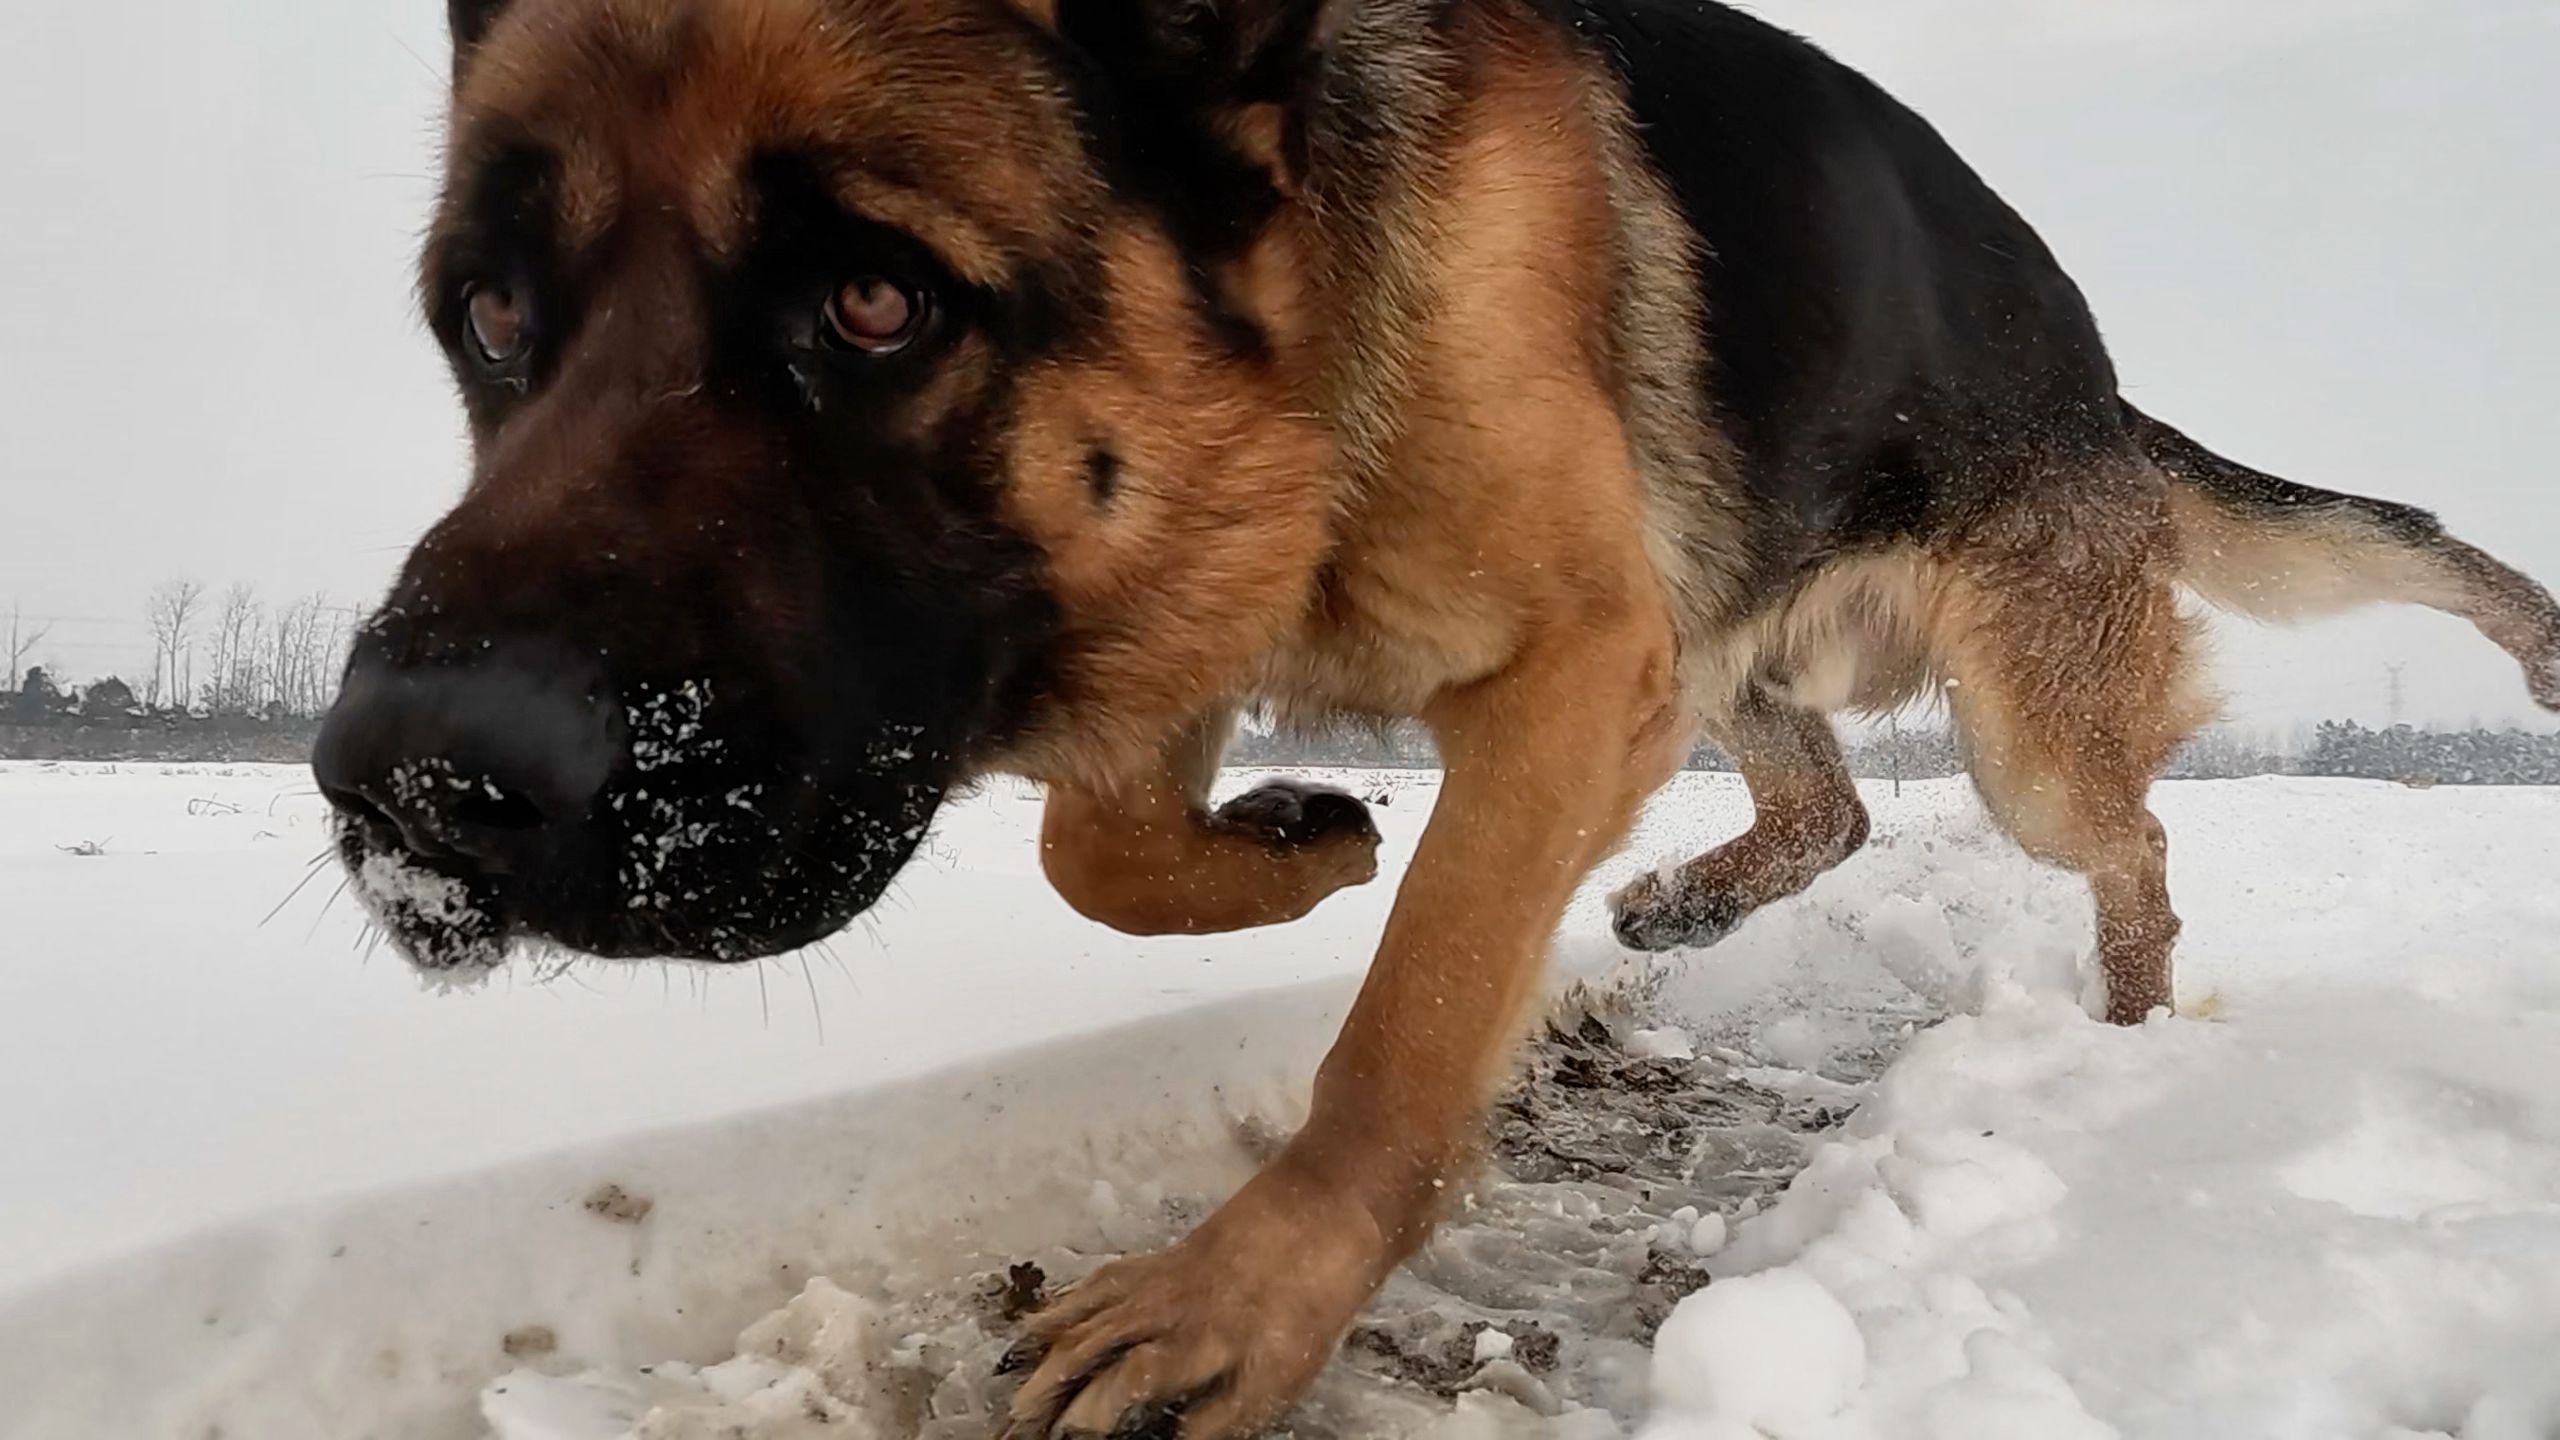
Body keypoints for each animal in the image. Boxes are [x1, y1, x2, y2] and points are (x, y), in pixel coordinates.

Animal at [320, 0, 2560, 1424]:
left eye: (875, 304)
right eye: (488, 314)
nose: (407, 787)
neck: (1297, 280)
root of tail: (2095, 390)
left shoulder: (1573, 667)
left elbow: (1407, 1028)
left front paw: (1235, 1306)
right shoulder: (1201, 571)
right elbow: (1093, 846)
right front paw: (1292, 846)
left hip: (1991, 726)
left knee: (2130, 837)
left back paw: (2121, 1020)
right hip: (1731, 641)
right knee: (1831, 805)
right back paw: (1687, 901)